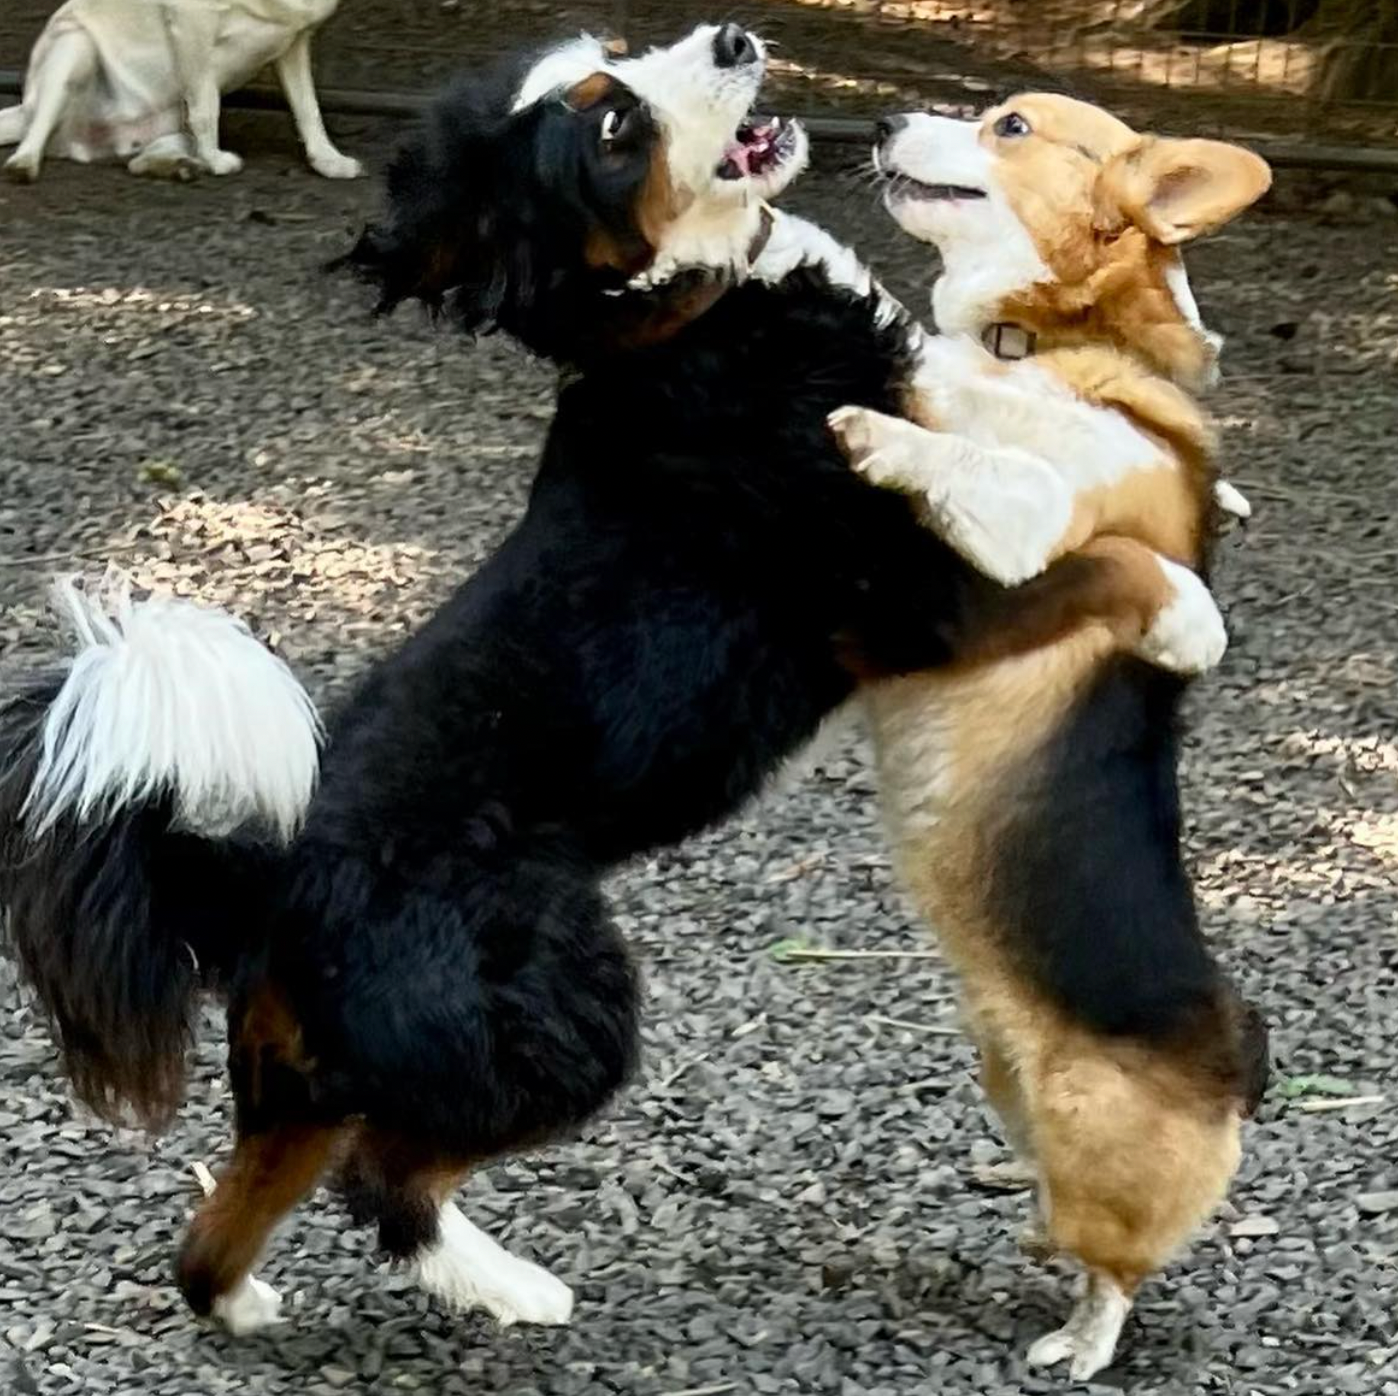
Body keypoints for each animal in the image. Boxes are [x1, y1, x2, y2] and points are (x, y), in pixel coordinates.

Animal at [1, 0, 360, 181]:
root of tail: (24, 111)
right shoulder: (193, 24)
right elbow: (207, 108)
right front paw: (215, 159)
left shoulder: (295, 42)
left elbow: (307, 109)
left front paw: (328, 160)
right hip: (75, 45)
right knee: (35, 133)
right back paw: (23, 163)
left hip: (170, 123)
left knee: (137, 161)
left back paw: (178, 166)